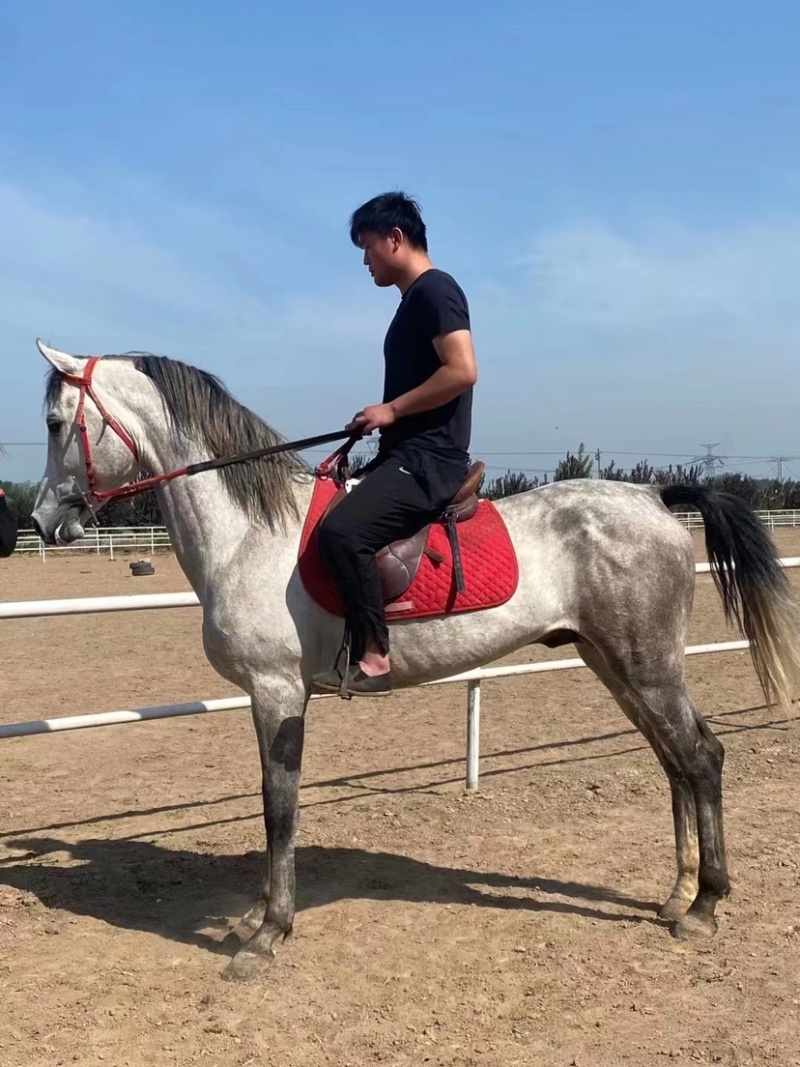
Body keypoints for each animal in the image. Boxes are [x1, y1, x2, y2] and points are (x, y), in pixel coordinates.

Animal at [30, 340, 800, 982]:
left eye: (55, 422)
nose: (41, 521)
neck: (252, 534)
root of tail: (653, 496)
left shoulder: (276, 692)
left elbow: (279, 807)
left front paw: (268, 933)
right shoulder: (267, 695)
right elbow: (274, 805)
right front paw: (257, 916)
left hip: (647, 666)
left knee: (701, 758)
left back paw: (704, 905)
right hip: (614, 664)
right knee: (675, 762)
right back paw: (677, 893)